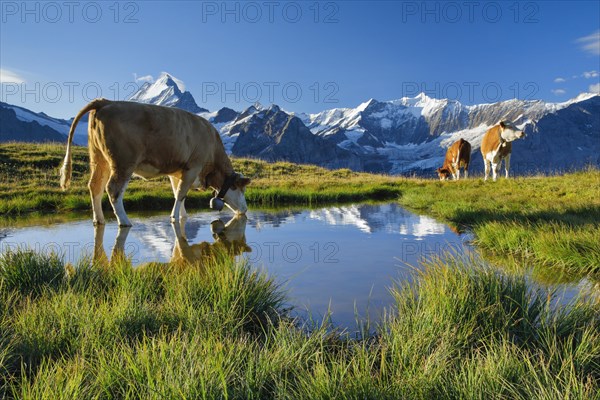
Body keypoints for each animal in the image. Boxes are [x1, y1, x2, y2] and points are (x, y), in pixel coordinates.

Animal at [59, 99, 250, 227]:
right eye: (241, 189)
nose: (245, 209)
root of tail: (107, 101)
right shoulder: (193, 167)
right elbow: (181, 193)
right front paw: (174, 217)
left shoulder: (177, 171)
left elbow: (177, 192)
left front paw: (183, 216)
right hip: (123, 162)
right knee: (113, 189)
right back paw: (124, 221)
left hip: (99, 158)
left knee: (95, 186)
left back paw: (99, 220)